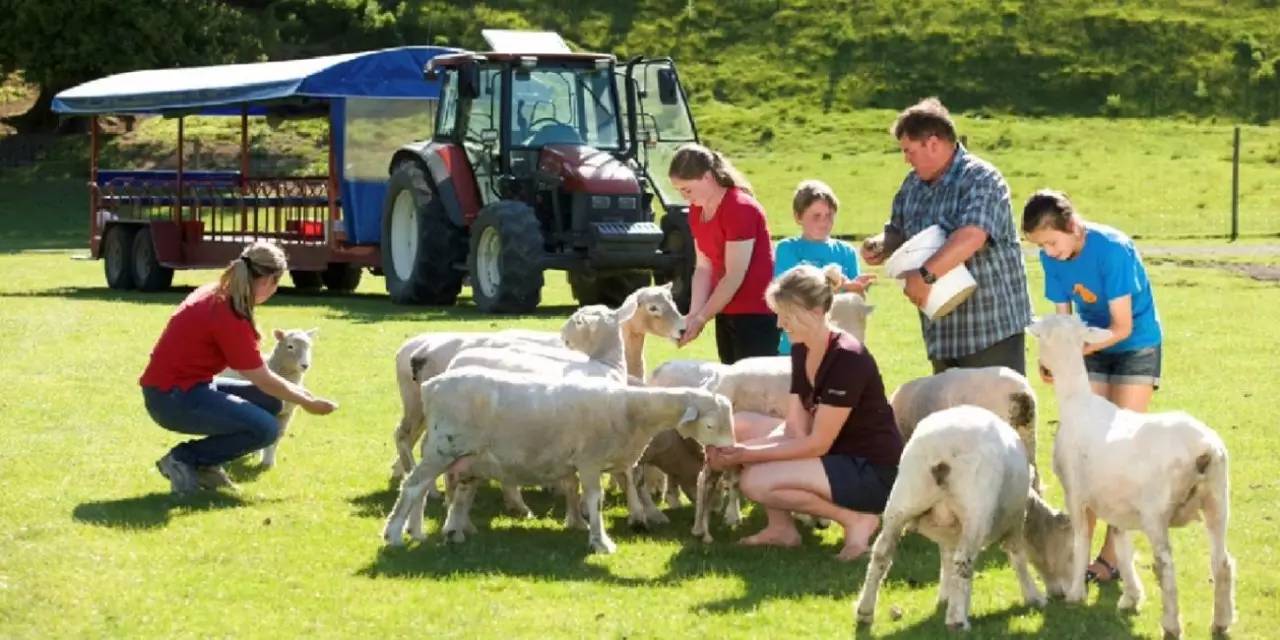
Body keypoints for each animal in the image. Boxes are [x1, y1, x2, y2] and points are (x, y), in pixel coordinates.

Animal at [378, 371, 737, 555]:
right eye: (709, 426)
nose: (729, 453)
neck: (629, 410)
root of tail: (430, 386)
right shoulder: (590, 460)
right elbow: (595, 499)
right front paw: (601, 541)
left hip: (458, 454)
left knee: (431, 488)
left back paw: (429, 532)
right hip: (443, 447)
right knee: (413, 486)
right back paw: (394, 534)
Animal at [855, 404, 1075, 629]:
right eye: (1070, 553)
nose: (1062, 595)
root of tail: (942, 452)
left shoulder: (947, 531)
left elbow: (946, 559)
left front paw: (946, 597)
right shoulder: (1015, 520)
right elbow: (1018, 557)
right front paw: (1034, 597)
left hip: (902, 500)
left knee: (882, 553)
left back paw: (865, 612)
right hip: (976, 509)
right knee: (964, 560)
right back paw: (957, 621)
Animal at [1029, 314, 1228, 634]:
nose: (1044, 369)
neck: (1076, 402)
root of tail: (1204, 448)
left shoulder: (1075, 492)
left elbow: (1081, 538)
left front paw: (1075, 593)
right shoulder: (1116, 502)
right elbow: (1121, 543)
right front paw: (1132, 596)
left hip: (1156, 511)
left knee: (1166, 567)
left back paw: (1171, 625)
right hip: (1218, 501)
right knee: (1222, 562)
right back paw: (1221, 623)